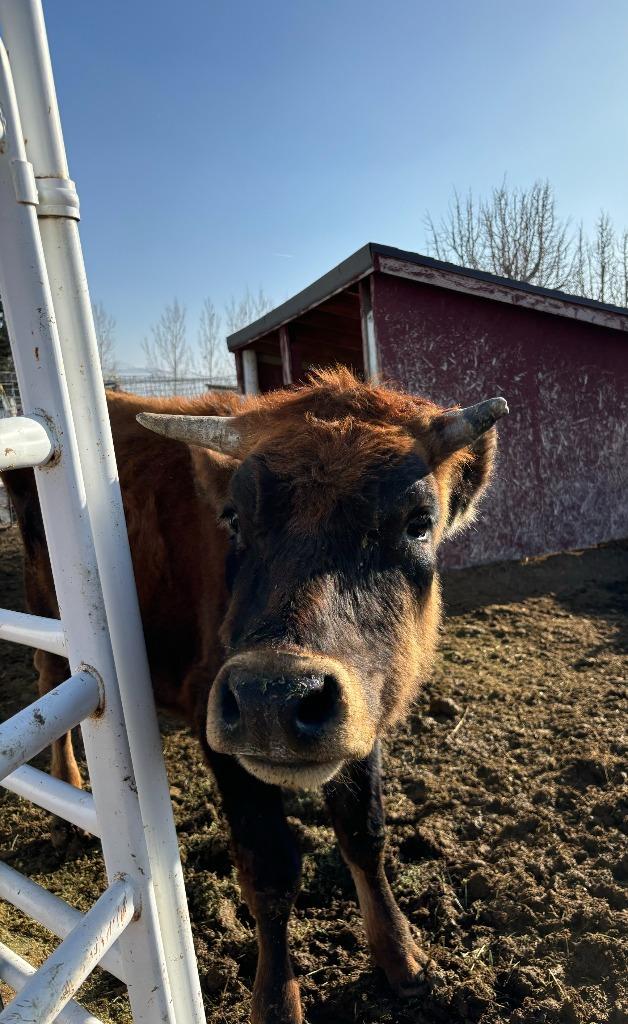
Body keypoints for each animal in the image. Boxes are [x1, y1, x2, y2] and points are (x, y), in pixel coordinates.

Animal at [3, 366, 507, 1024]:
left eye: (418, 521)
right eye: (235, 518)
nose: (274, 698)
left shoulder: (364, 717)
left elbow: (365, 835)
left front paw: (403, 959)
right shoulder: (215, 721)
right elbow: (269, 870)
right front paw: (275, 1001)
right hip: (48, 602)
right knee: (49, 678)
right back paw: (68, 792)